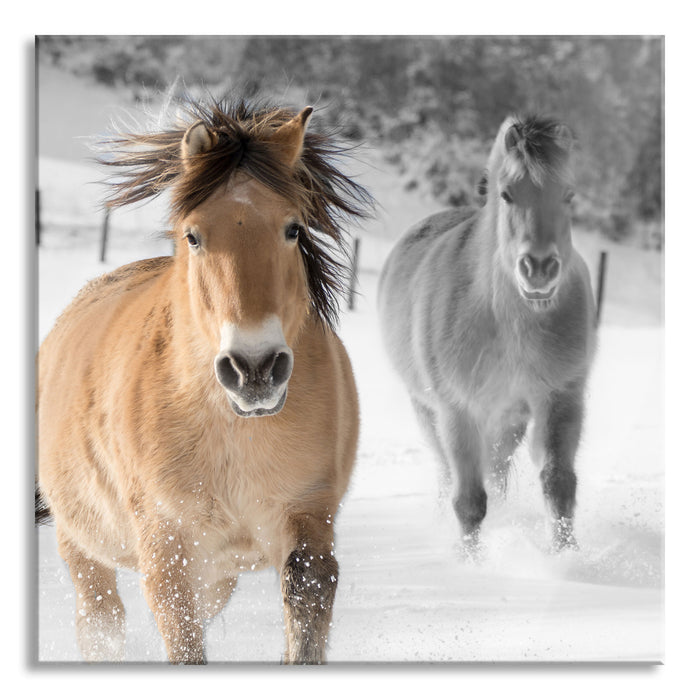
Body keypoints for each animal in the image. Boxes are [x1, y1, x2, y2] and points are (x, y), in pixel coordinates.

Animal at [34, 97, 372, 660]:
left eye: (293, 229)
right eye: (193, 235)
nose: (254, 368)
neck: (232, 431)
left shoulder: (308, 518)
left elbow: (304, 613)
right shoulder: (167, 550)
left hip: (218, 574)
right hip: (81, 544)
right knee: (101, 622)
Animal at [378, 113, 596, 552]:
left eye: (568, 194)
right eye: (507, 194)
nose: (539, 269)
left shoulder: (560, 398)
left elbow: (559, 483)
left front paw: (567, 557)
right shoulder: (458, 410)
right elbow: (469, 501)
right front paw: (470, 561)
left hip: (507, 419)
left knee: (496, 474)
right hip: (428, 410)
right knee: (449, 474)